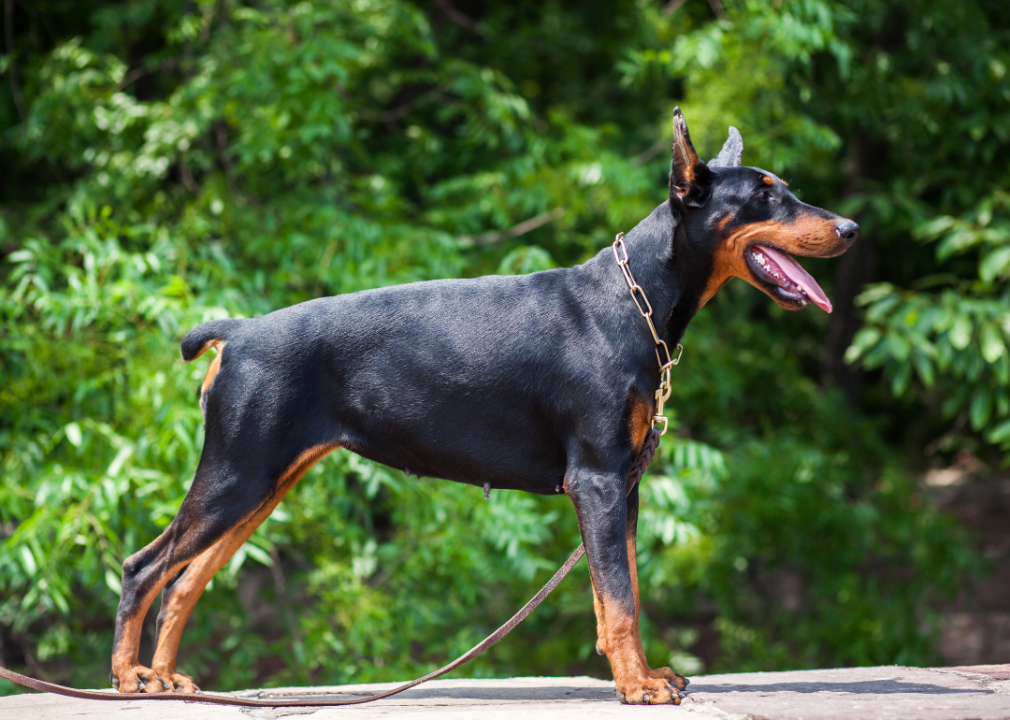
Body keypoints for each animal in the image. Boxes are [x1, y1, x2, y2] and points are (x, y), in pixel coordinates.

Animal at [108, 111, 852, 702]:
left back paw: (166, 676)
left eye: (786, 189)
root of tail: (237, 332)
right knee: (144, 566)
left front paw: (641, 673)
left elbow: (625, 587)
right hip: (239, 470)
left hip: (265, 480)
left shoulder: (626, 483)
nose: (850, 226)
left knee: (183, 581)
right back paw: (129, 677)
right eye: (764, 196)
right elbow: (618, 596)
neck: (634, 297)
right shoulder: (599, 478)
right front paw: (638, 685)